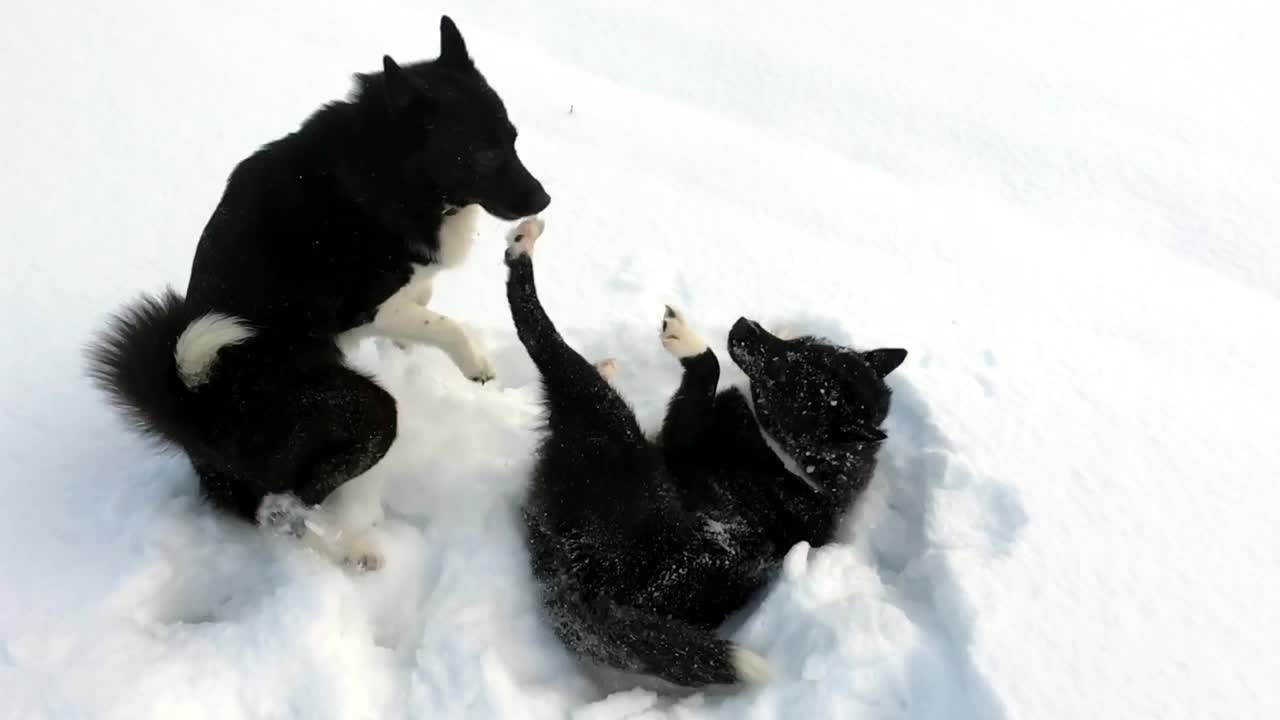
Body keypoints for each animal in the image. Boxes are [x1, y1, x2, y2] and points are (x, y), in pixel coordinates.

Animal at [87, 15, 547, 566]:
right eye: (483, 152)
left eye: (514, 139)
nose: (545, 198)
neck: (390, 170)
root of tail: (198, 419)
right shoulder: (360, 308)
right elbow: (445, 324)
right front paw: (474, 364)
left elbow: (423, 308)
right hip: (363, 412)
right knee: (286, 505)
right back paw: (347, 549)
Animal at [501, 217, 911, 681]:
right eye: (803, 345)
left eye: (789, 375)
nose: (745, 324)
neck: (795, 460)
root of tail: (588, 593)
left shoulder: (680, 433)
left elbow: (710, 365)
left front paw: (685, 340)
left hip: (603, 415)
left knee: (538, 333)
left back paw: (523, 246)